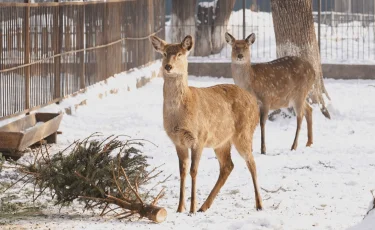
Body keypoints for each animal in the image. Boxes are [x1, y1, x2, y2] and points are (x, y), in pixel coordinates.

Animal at [151, 34, 264, 214]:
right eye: (164, 53)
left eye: (180, 54)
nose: (168, 66)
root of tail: (253, 101)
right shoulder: (178, 141)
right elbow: (182, 172)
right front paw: (180, 208)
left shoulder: (200, 137)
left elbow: (194, 171)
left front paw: (190, 209)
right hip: (222, 141)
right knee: (228, 166)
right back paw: (204, 206)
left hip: (244, 133)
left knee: (251, 163)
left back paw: (259, 204)